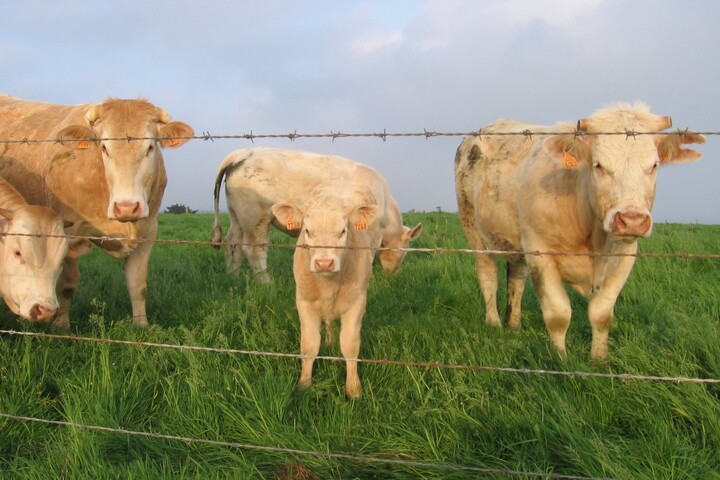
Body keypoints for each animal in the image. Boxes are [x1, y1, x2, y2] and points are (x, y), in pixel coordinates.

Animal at [210, 147, 421, 284]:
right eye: (404, 250)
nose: (392, 275)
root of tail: (244, 153)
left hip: (237, 215)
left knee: (232, 245)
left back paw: (233, 278)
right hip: (256, 217)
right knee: (253, 250)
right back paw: (266, 283)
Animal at [271, 178, 381, 398]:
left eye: (343, 231)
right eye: (307, 231)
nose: (324, 263)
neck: (328, 285)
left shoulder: (357, 302)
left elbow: (349, 345)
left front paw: (354, 389)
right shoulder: (303, 301)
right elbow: (309, 346)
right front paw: (304, 384)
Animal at [454, 102, 705, 359]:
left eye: (654, 165)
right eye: (599, 165)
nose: (632, 219)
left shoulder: (626, 256)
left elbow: (601, 314)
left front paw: (598, 359)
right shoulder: (540, 253)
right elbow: (558, 315)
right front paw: (560, 358)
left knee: (516, 277)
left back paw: (514, 325)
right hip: (472, 226)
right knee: (488, 275)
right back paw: (494, 323)